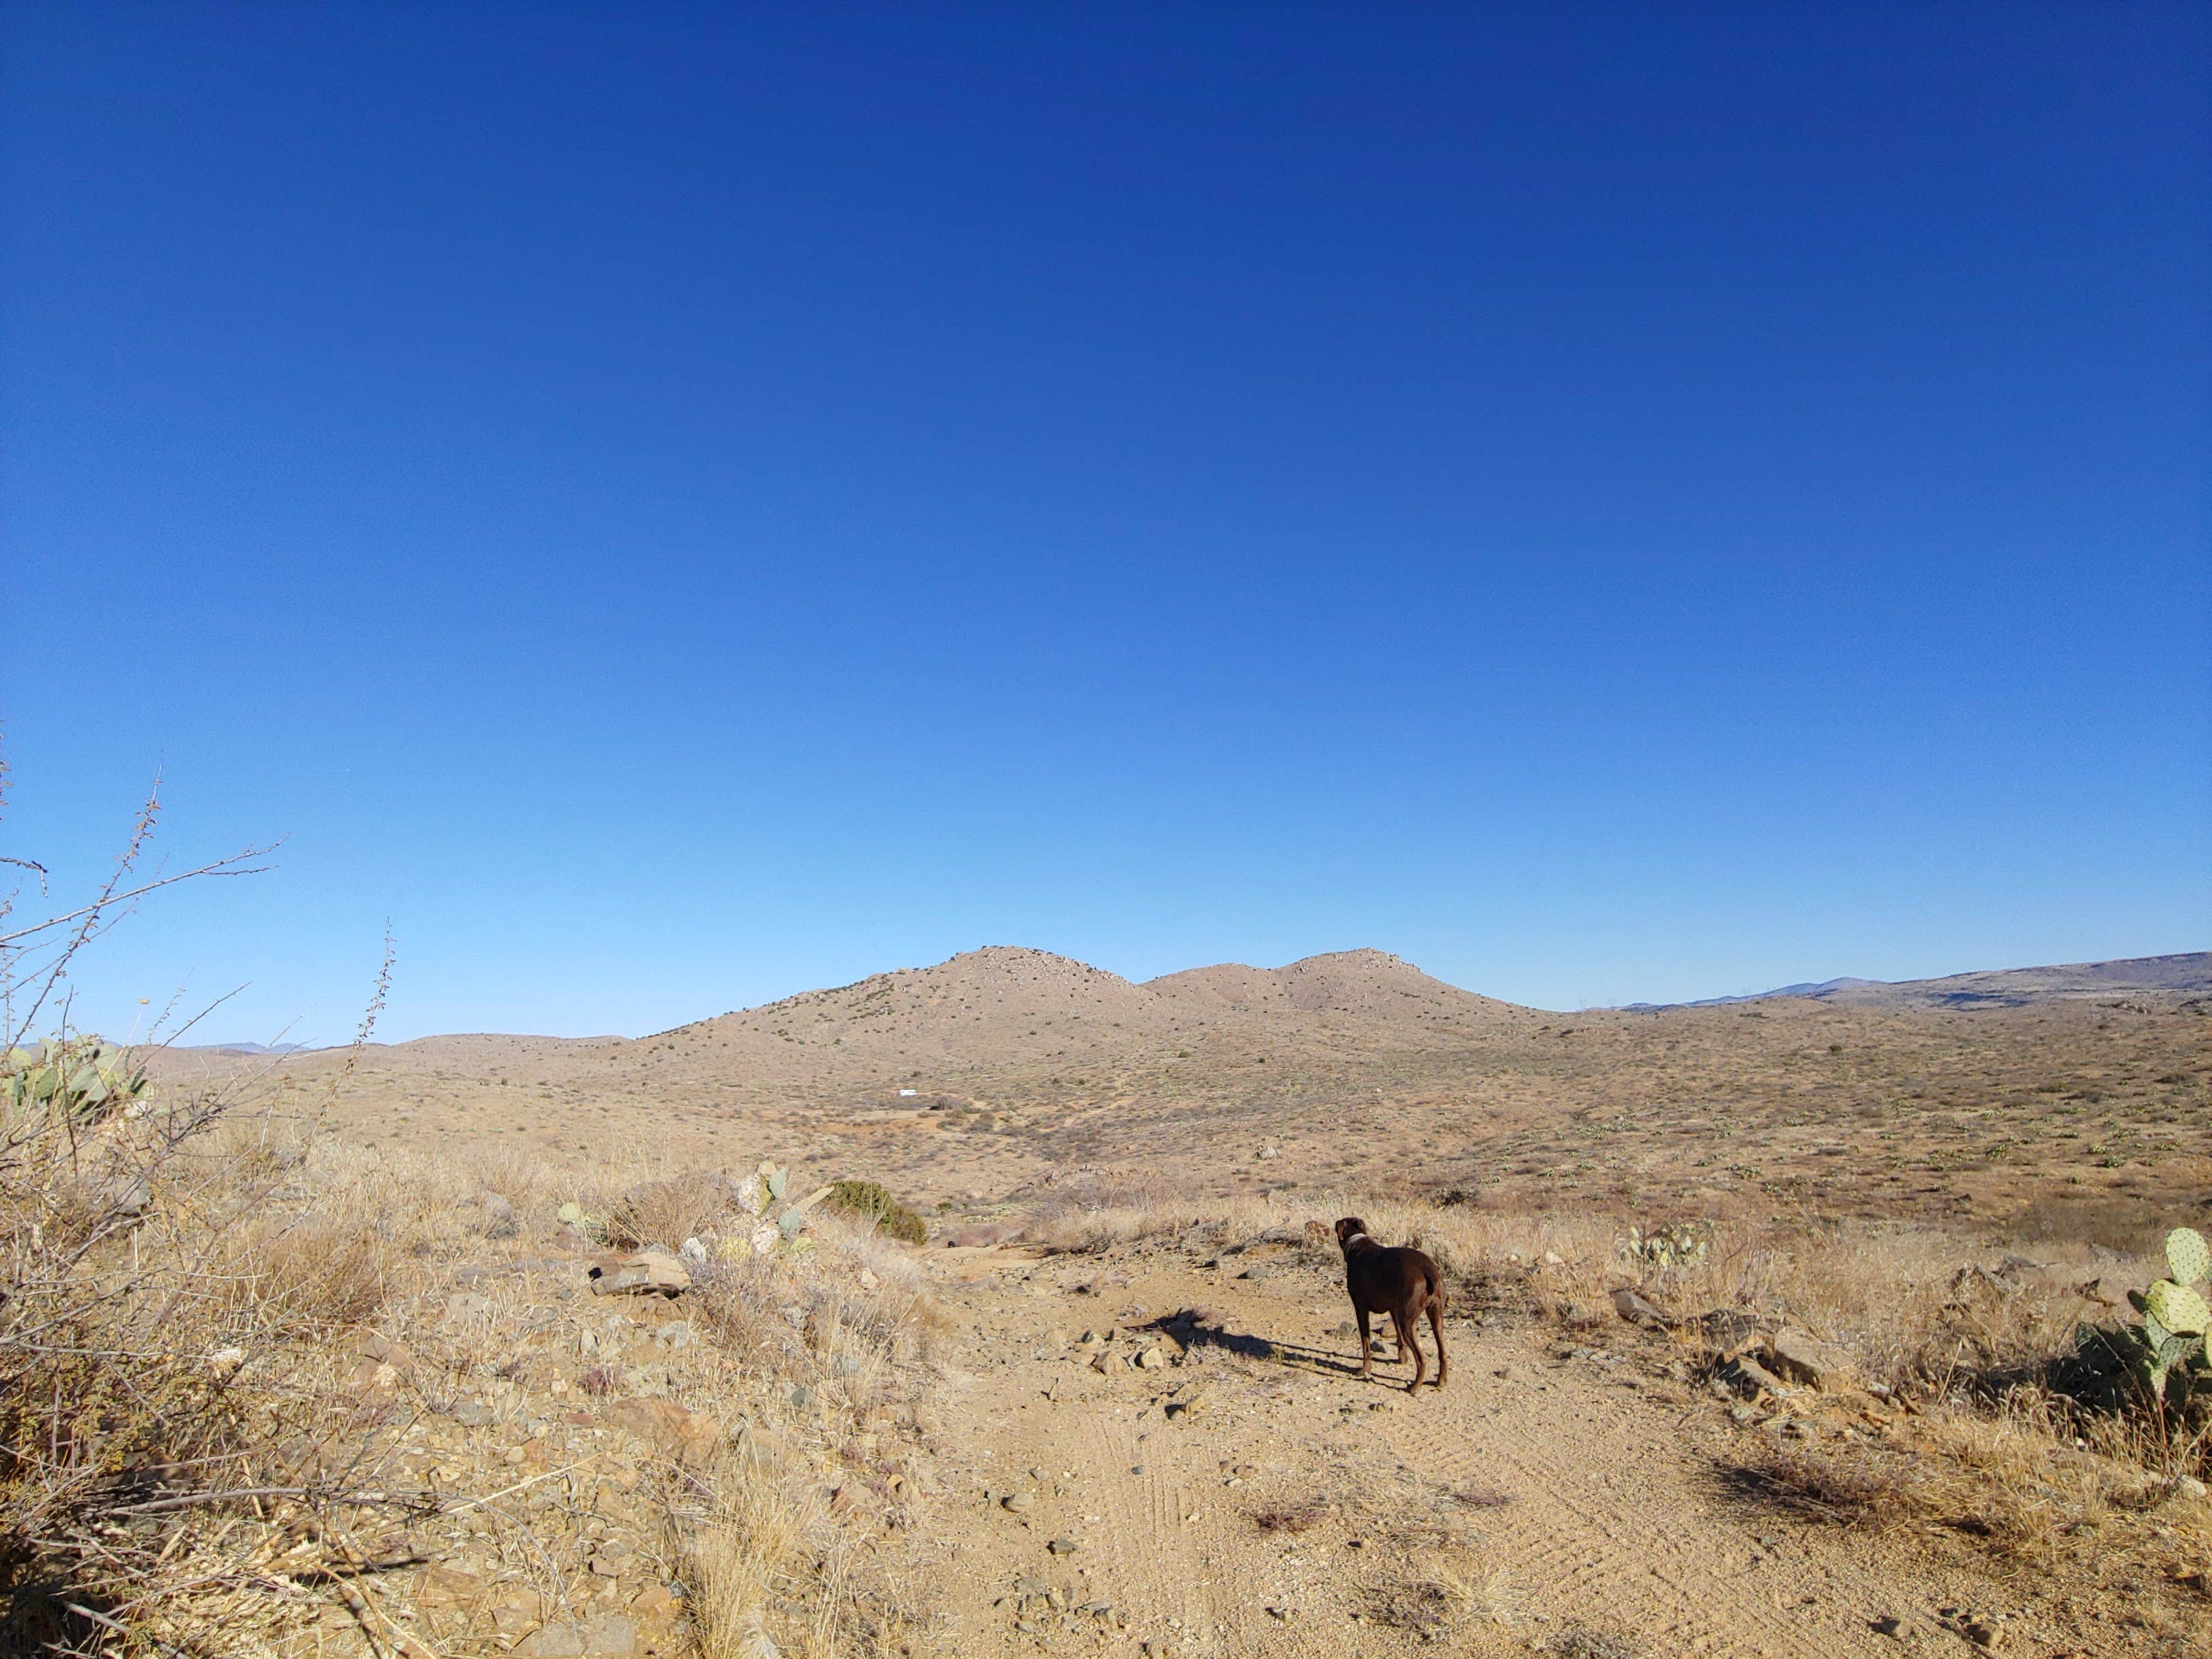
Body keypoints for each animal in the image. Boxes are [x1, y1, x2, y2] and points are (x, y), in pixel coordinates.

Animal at [1327, 1212, 1451, 1397]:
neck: (1356, 1243)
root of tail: (1429, 1271)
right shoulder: (1394, 1309)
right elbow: (1399, 1338)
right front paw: (1402, 1358)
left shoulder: (1361, 1308)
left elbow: (1366, 1343)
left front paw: (1364, 1370)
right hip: (1435, 1316)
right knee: (1442, 1352)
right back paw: (1441, 1381)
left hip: (1408, 1321)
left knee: (1422, 1359)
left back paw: (1415, 1387)